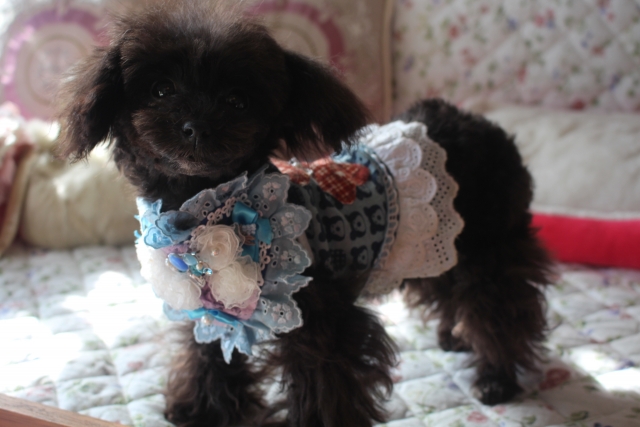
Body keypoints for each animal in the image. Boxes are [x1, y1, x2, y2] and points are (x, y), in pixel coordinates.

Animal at [56, 3, 552, 426]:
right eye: (161, 89)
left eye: (237, 100)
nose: (197, 127)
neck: (210, 209)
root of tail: (482, 124)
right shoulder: (211, 307)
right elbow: (208, 357)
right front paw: (201, 411)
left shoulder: (323, 322)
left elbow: (323, 379)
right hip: (441, 242)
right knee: (449, 288)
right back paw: (455, 336)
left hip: (490, 248)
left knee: (501, 309)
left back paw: (496, 377)